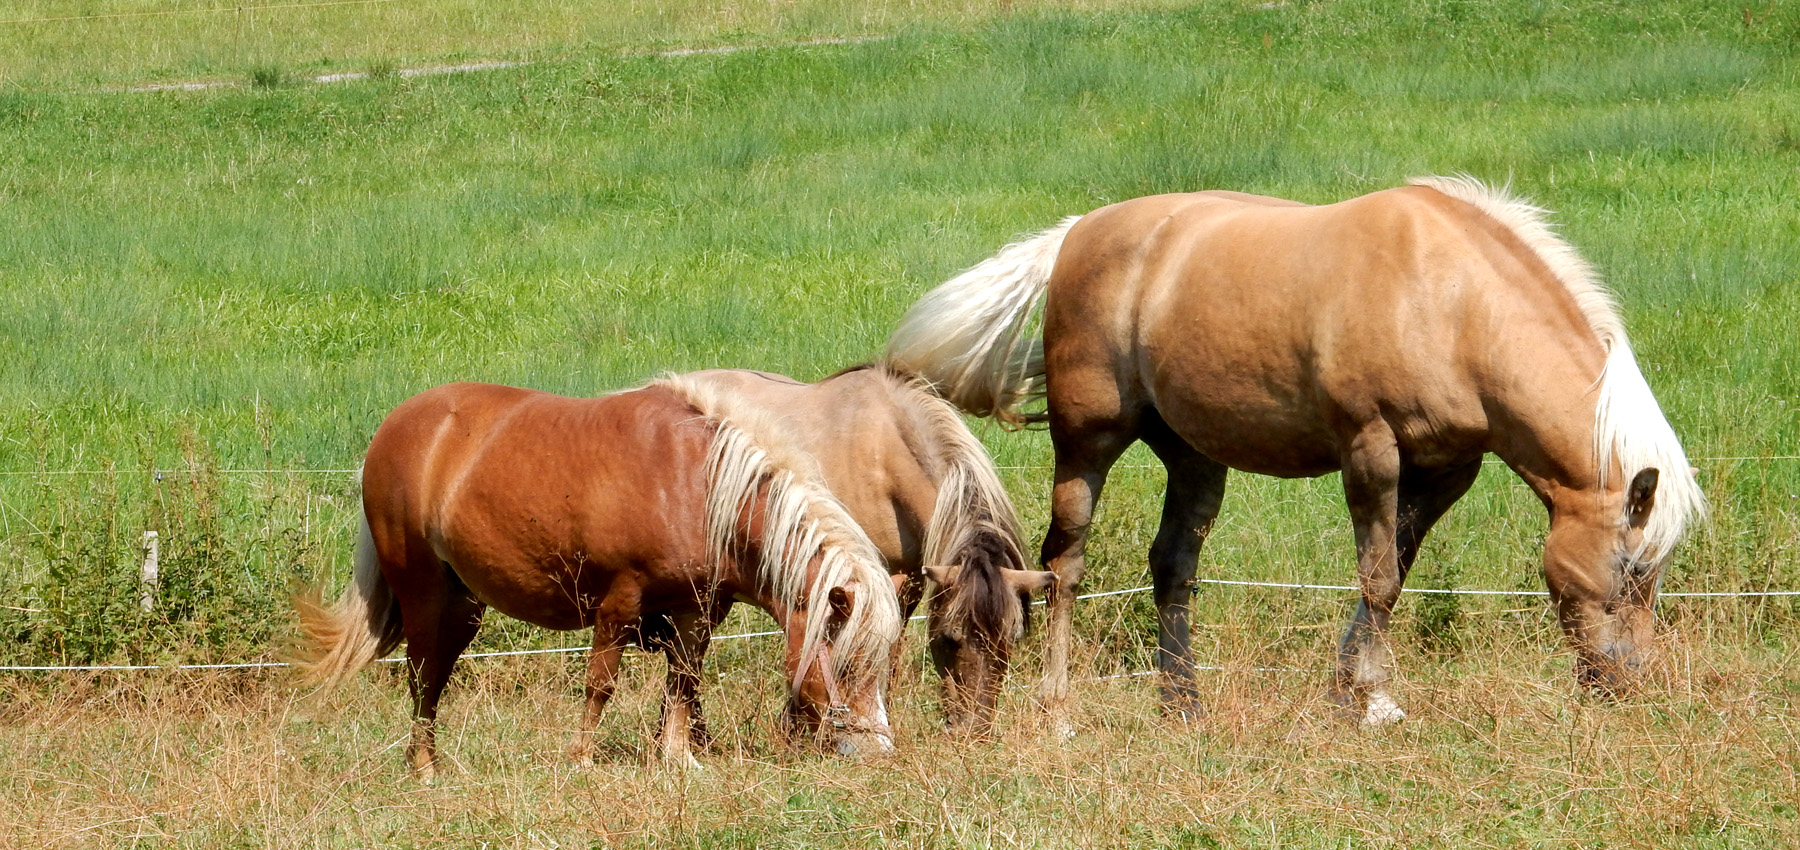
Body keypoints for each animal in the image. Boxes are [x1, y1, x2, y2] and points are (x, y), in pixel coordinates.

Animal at [304, 378, 914, 777]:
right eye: (848, 664)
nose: (879, 752)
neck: (696, 484)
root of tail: (395, 427)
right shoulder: (620, 602)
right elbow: (600, 685)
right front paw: (582, 761)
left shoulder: (696, 612)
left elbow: (683, 684)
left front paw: (678, 760)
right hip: (423, 591)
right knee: (423, 675)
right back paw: (424, 767)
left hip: (465, 603)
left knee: (437, 674)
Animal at [892, 177, 1706, 723]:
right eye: (1631, 570)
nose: (1629, 683)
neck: (1448, 300)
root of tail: (1075, 234)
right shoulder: (1370, 449)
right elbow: (1379, 577)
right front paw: (1374, 700)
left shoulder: (1446, 469)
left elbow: (1393, 570)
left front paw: (1350, 686)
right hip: (1088, 442)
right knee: (1065, 563)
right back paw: (1058, 708)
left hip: (1194, 455)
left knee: (1172, 568)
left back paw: (1184, 702)